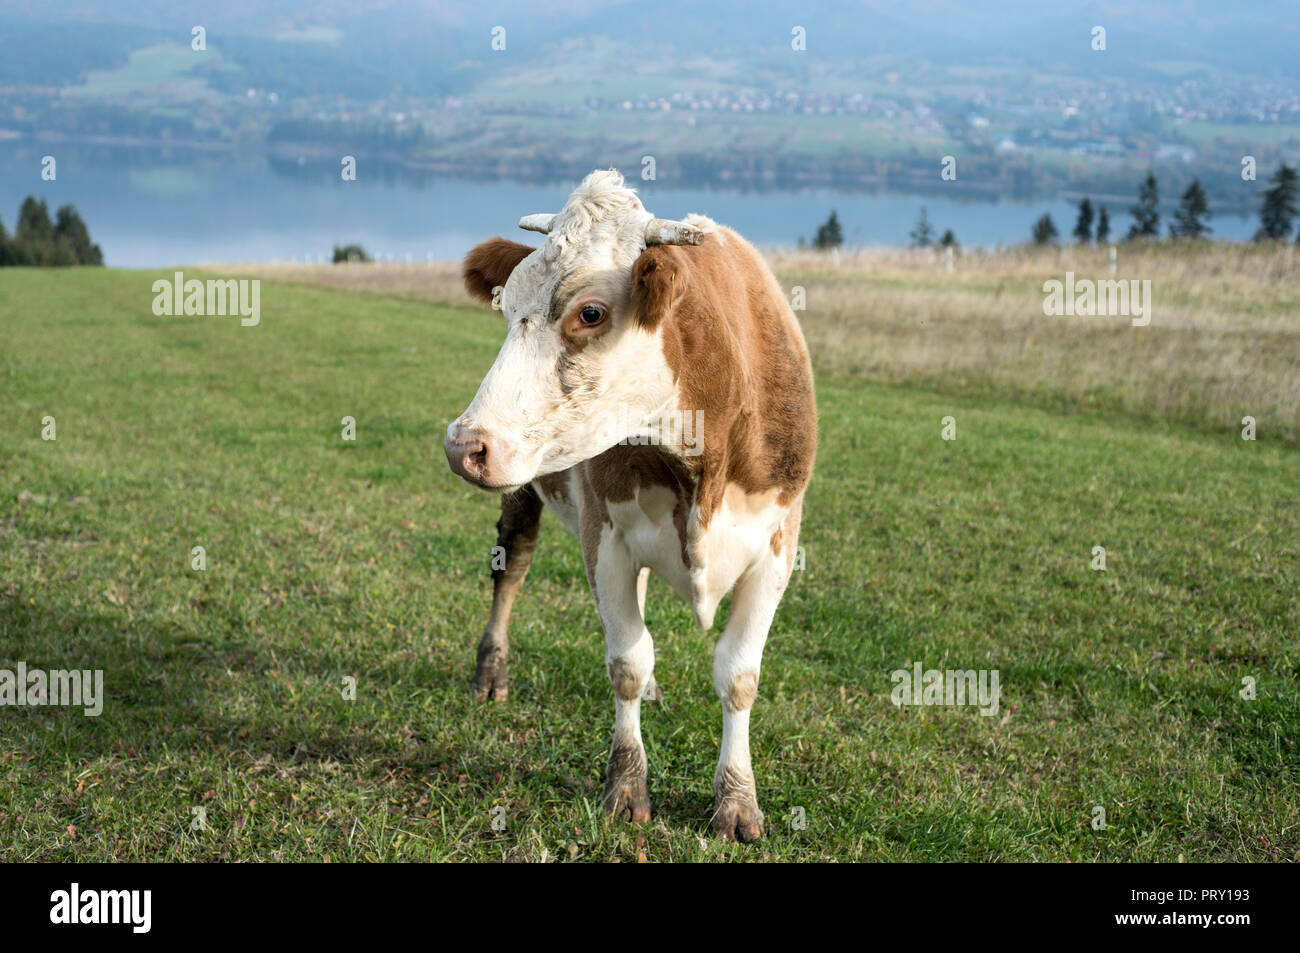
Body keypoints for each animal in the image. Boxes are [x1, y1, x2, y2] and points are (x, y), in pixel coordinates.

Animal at [444, 169, 816, 841]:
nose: (463, 446)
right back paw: (491, 675)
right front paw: (625, 786)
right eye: (507, 308)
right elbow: (626, 662)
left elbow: (739, 675)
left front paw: (737, 801)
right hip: (524, 493)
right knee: (511, 568)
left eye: (589, 312)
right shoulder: (606, 538)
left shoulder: (778, 546)